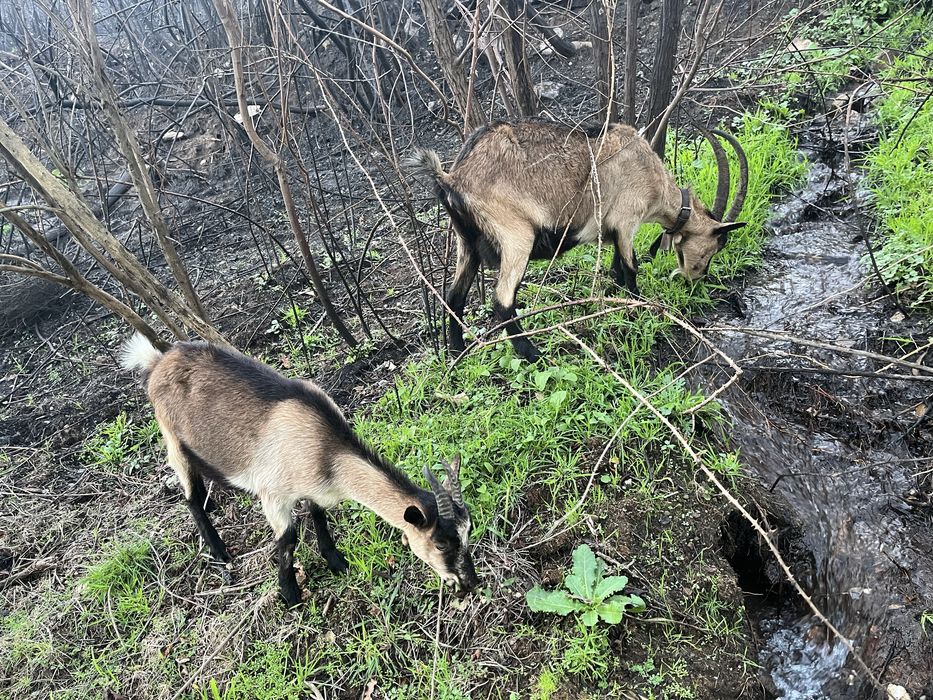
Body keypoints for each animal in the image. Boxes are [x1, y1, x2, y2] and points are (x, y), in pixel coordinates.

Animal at [119, 333, 478, 606]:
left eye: (468, 531)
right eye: (441, 543)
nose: (469, 582)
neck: (326, 449)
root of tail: (157, 361)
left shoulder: (314, 488)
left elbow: (319, 517)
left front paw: (336, 562)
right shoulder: (273, 495)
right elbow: (288, 539)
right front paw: (290, 596)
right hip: (172, 439)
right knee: (191, 496)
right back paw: (219, 552)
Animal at [406, 119, 749, 361]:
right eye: (717, 244)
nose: (695, 277)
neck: (649, 172)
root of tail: (452, 177)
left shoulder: (613, 231)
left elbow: (617, 267)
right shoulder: (626, 219)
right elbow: (631, 268)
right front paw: (639, 310)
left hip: (466, 243)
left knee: (455, 297)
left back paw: (456, 352)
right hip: (516, 236)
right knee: (502, 300)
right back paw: (533, 355)